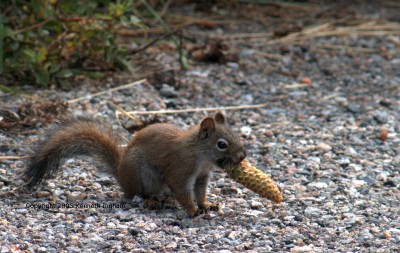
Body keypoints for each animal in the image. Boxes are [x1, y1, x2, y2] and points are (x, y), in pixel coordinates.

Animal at [24, 113, 247, 217]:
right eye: (221, 144)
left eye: (237, 135)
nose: (243, 156)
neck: (199, 154)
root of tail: (121, 173)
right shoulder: (181, 169)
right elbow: (183, 192)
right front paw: (193, 211)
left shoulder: (201, 176)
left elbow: (200, 192)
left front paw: (206, 205)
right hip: (145, 177)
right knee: (138, 194)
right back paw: (151, 201)